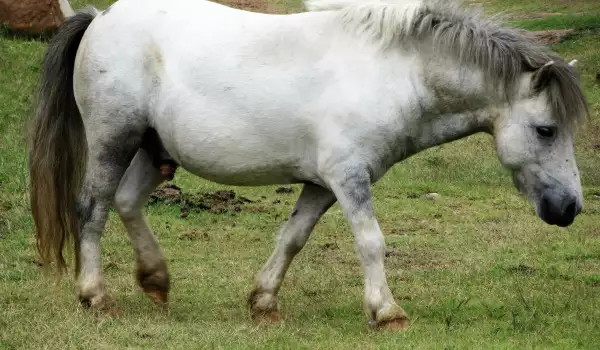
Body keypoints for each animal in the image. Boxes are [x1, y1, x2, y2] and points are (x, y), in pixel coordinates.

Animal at [28, 0, 584, 330]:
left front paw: (264, 301)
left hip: (151, 149)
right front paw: (387, 312)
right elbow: (371, 240)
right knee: (92, 209)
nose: (571, 208)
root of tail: (100, 17)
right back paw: (96, 295)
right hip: (113, 141)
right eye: (546, 130)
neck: (394, 73)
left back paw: (156, 279)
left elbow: (292, 238)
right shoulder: (348, 178)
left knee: (125, 204)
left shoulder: (323, 184)